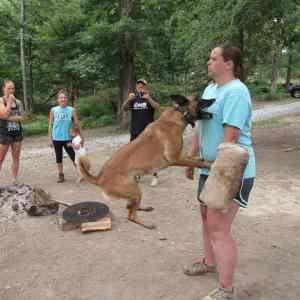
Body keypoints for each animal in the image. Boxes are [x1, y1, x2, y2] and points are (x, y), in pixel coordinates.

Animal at [79, 95, 214, 229]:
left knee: (129, 207)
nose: (213, 99)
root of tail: (99, 178)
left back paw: (143, 208)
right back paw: (147, 225)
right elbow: (196, 163)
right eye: (199, 99)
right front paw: (209, 164)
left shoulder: (180, 156)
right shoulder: (175, 158)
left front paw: (205, 159)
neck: (179, 115)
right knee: (131, 215)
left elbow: (194, 159)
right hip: (135, 191)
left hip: (134, 190)